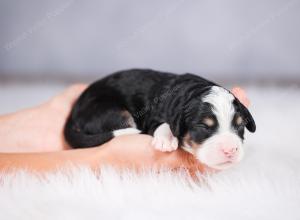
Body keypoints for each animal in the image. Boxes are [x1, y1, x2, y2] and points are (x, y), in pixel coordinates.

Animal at [63, 69, 255, 170]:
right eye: (203, 126)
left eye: (240, 126)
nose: (230, 150)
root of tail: (74, 112)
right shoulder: (152, 117)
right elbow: (163, 124)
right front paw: (166, 140)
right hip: (111, 111)